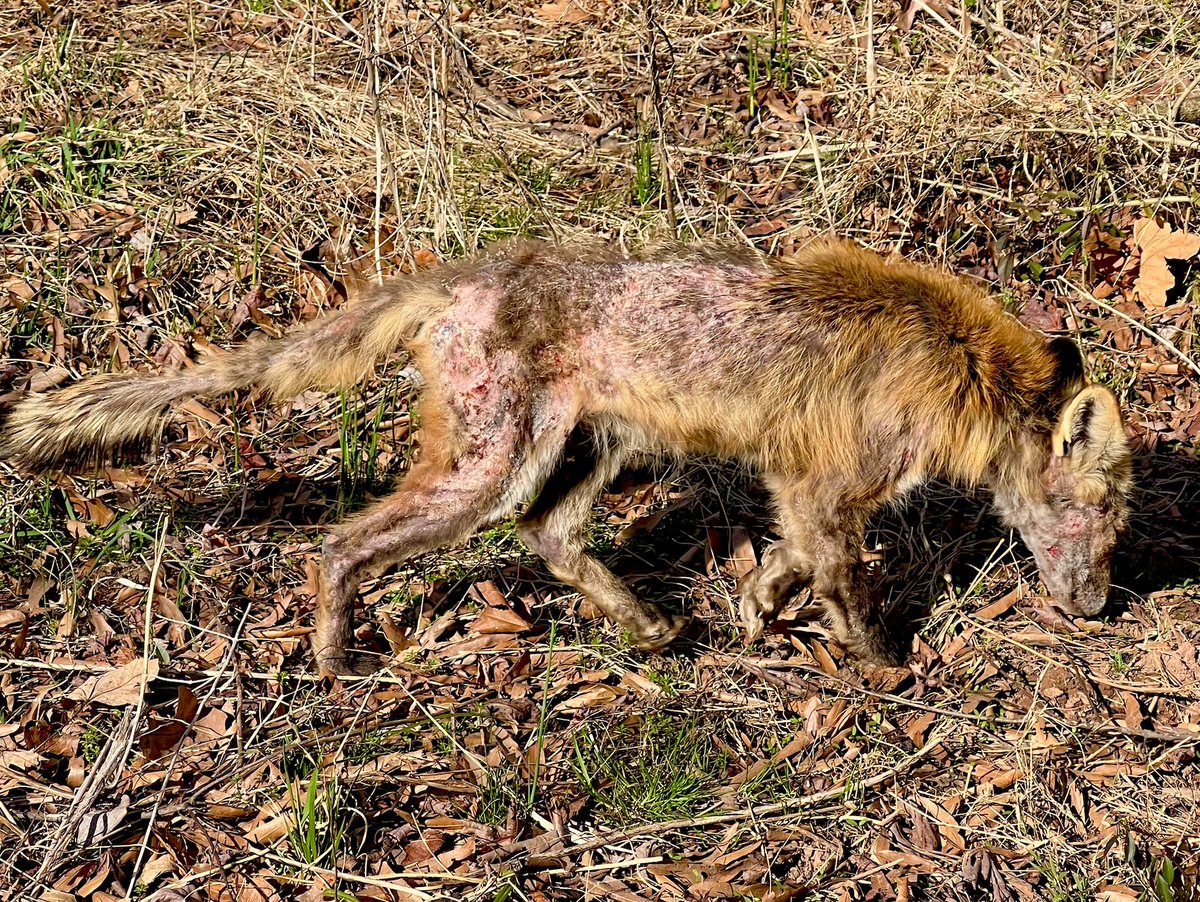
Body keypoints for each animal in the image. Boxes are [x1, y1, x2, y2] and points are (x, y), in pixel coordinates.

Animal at [1, 237, 1133, 673]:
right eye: (1107, 522)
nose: (1100, 608)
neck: (956, 373)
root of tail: (469, 276)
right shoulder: (827, 489)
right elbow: (847, 590)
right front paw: (887, 671)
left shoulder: (799, 493)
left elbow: (780, 570)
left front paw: (755, 617)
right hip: (484, 472)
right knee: (337, 544)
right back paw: (333, 660)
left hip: (579, 454)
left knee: (547, 537)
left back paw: (647, 626)